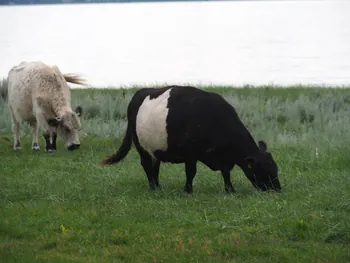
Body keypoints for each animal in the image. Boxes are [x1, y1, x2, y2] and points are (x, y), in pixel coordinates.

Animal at [101, 86, 282, 194]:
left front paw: (230, 190)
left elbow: (226, 172)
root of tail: (142, 92)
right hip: (141, 146)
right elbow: (191, 172)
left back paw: (158, 186)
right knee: (146, 165)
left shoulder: (224, 157)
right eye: (263, 169)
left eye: (275, 168)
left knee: (155, 166)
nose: (277, 189)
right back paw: (153, 188)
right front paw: (188, 191)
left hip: (155, 148)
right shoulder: (190, 153)